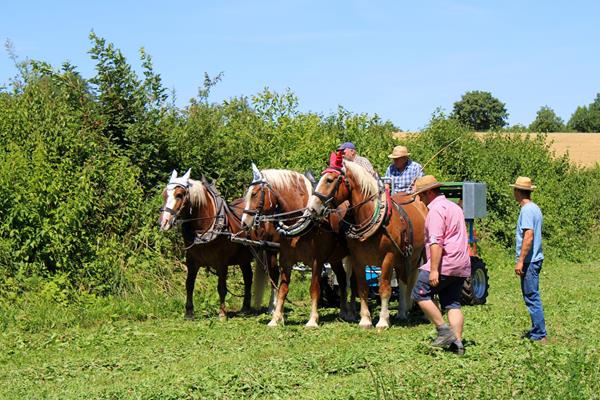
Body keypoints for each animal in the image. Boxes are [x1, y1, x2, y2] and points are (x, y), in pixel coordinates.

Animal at [161, 170, 262, 320]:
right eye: (164, 194)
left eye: (179, 195)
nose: (164, 223)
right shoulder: (192, 261)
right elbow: (189, 284)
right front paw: (189, 312)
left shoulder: (222, 262)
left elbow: (221, 287)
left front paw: (222, 313)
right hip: (243, 258)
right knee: (248, 278)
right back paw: (245, 308)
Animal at [240, 164, 352, 326]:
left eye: (254, 194)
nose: (244, 223)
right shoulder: (285, 259)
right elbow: (282, 288)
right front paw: (275, 318)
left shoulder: (317, 261)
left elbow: (314, 288)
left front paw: (312, 320)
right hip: (335, 258)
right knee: (342, 279)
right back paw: (343, 311)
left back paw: (351, 312)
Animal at [308, 159, 428, 328]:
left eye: (329, 180)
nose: (312, 208)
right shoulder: (358, 259)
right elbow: (362, 288)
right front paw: (365, 320)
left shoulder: (388, 257)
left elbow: (385, 288)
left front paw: (383, 321)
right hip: (403, 258)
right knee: (404, 280)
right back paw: (402, 311)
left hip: (416, 254)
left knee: (407, 281)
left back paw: (409, 312)